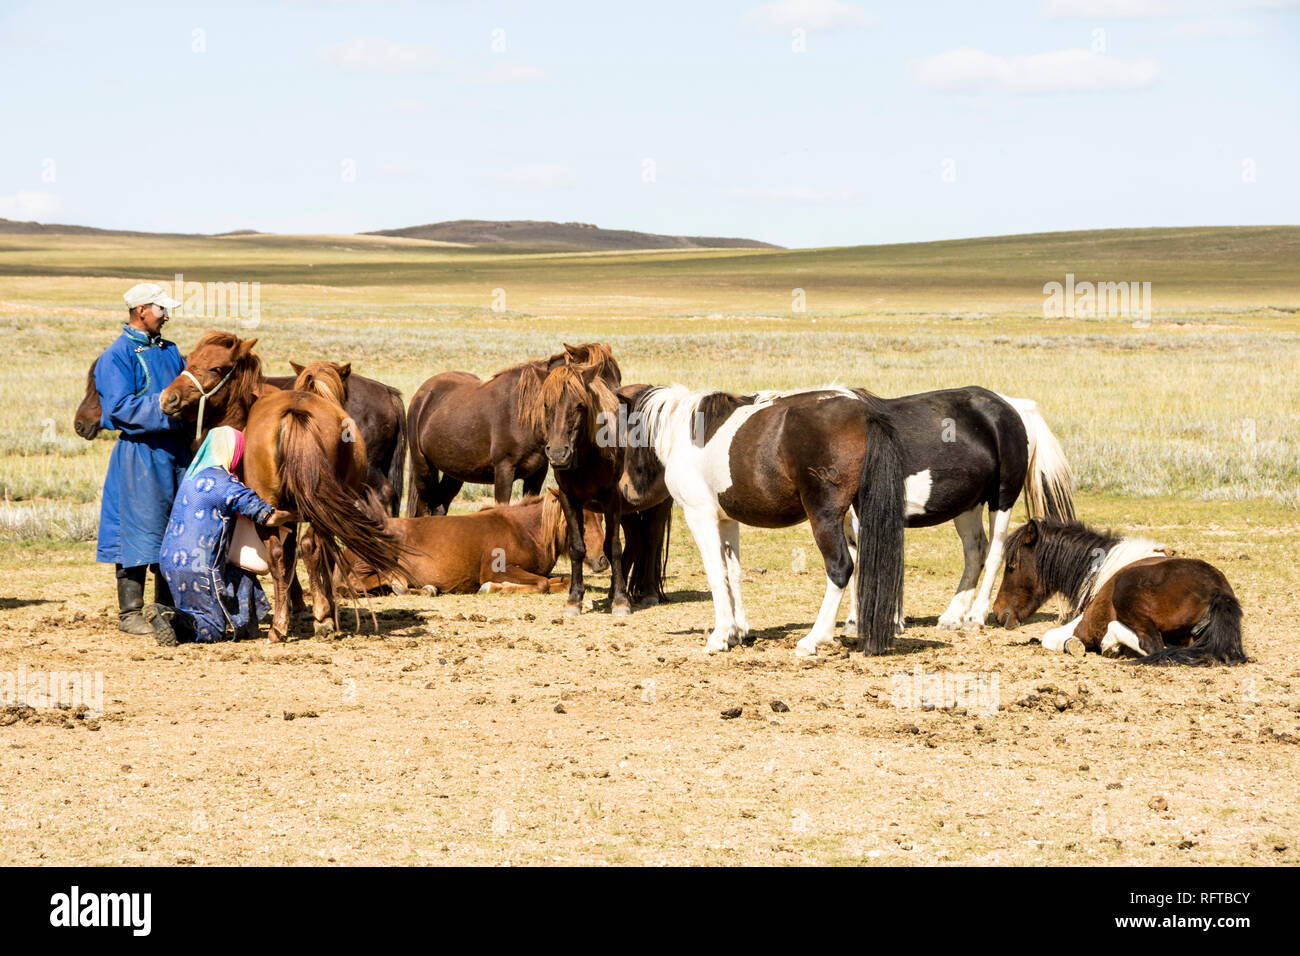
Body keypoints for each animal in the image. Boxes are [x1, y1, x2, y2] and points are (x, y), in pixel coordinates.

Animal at [340, 494, 613, 598]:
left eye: (601, 516)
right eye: (581, 519)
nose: (602, 560)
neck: (525, 531)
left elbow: (561, 582)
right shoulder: (497, 569)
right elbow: (542, 584)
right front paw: (493, 587)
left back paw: (424, 589)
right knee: (354, 583)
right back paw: (399, 582)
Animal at [405, 343, 624, 515]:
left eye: (618, 379)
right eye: (598, 381)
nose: (617, 414)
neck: (523, 418)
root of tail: (422, 394)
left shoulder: (536, 475)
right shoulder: (504, 470)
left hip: (454, 472)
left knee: (439, 507)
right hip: (423, 468)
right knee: (425, 508)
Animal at [993, 520, 1248, 671]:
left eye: (1011, 566)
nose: (997, 612)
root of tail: (1216, 591)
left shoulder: (1082, 624)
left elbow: (1050, 638)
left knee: (1153, 645)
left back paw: (1110, 644)